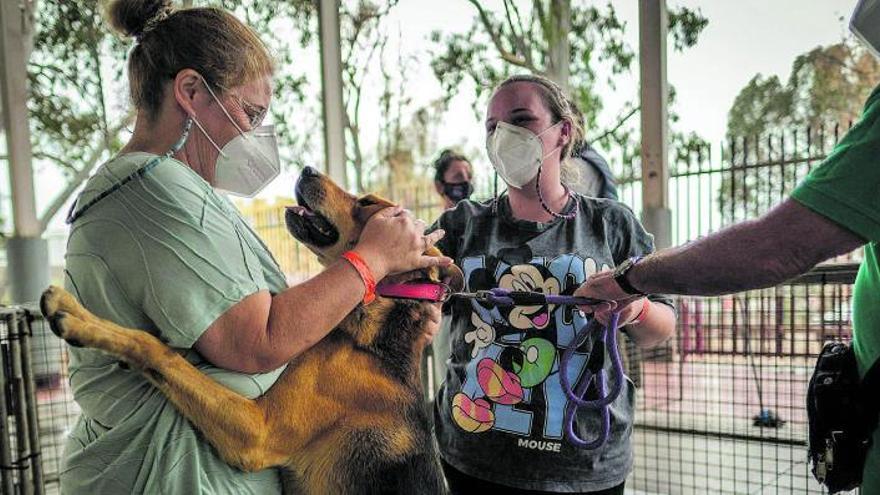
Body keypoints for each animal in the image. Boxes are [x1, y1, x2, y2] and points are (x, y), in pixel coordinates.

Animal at [41, 168, 464, 495]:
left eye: (366, 202)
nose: (307, 168)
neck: (369, 342)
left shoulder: (258, 432)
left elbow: (156, 349)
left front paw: (78, 317)